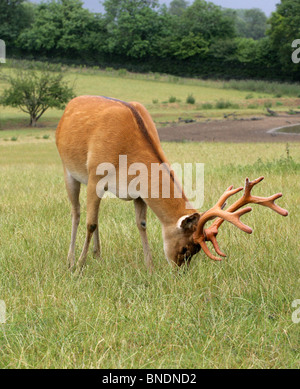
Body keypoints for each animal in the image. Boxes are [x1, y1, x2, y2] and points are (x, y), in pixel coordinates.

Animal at [55, 95, 288, 272]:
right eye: (186, 248)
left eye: (196, 250)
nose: (180, 271)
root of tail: (70, 105)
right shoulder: (95, 176)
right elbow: (90, 223)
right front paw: (80, 266)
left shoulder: (138, 192)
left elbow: (141, 224)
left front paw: (149, 267)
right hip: (69, 170)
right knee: (77, 213)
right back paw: (71, 260)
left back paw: (97, 255)